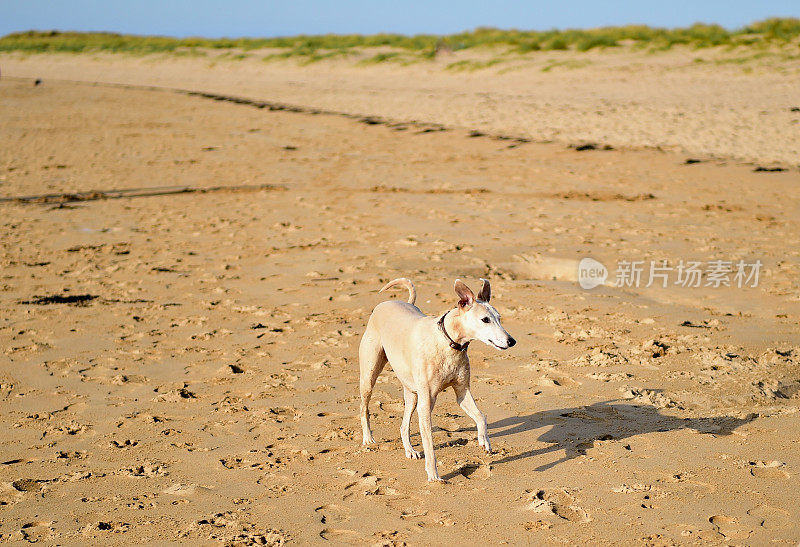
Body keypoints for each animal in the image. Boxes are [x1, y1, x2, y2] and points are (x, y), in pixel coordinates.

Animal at [360, 280, 516, 482]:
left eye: (499, 317)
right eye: (485, 320)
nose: (511, 341)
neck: (448, 342)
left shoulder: (462, 391)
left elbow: (481, 416)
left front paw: (484, 441)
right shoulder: (427, 402)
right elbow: (429, 444)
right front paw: (433, 475)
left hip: (412, 393)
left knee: (404, 425)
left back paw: (410, 450)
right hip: (369, 376)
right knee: (364, 407)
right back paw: (368, 439)